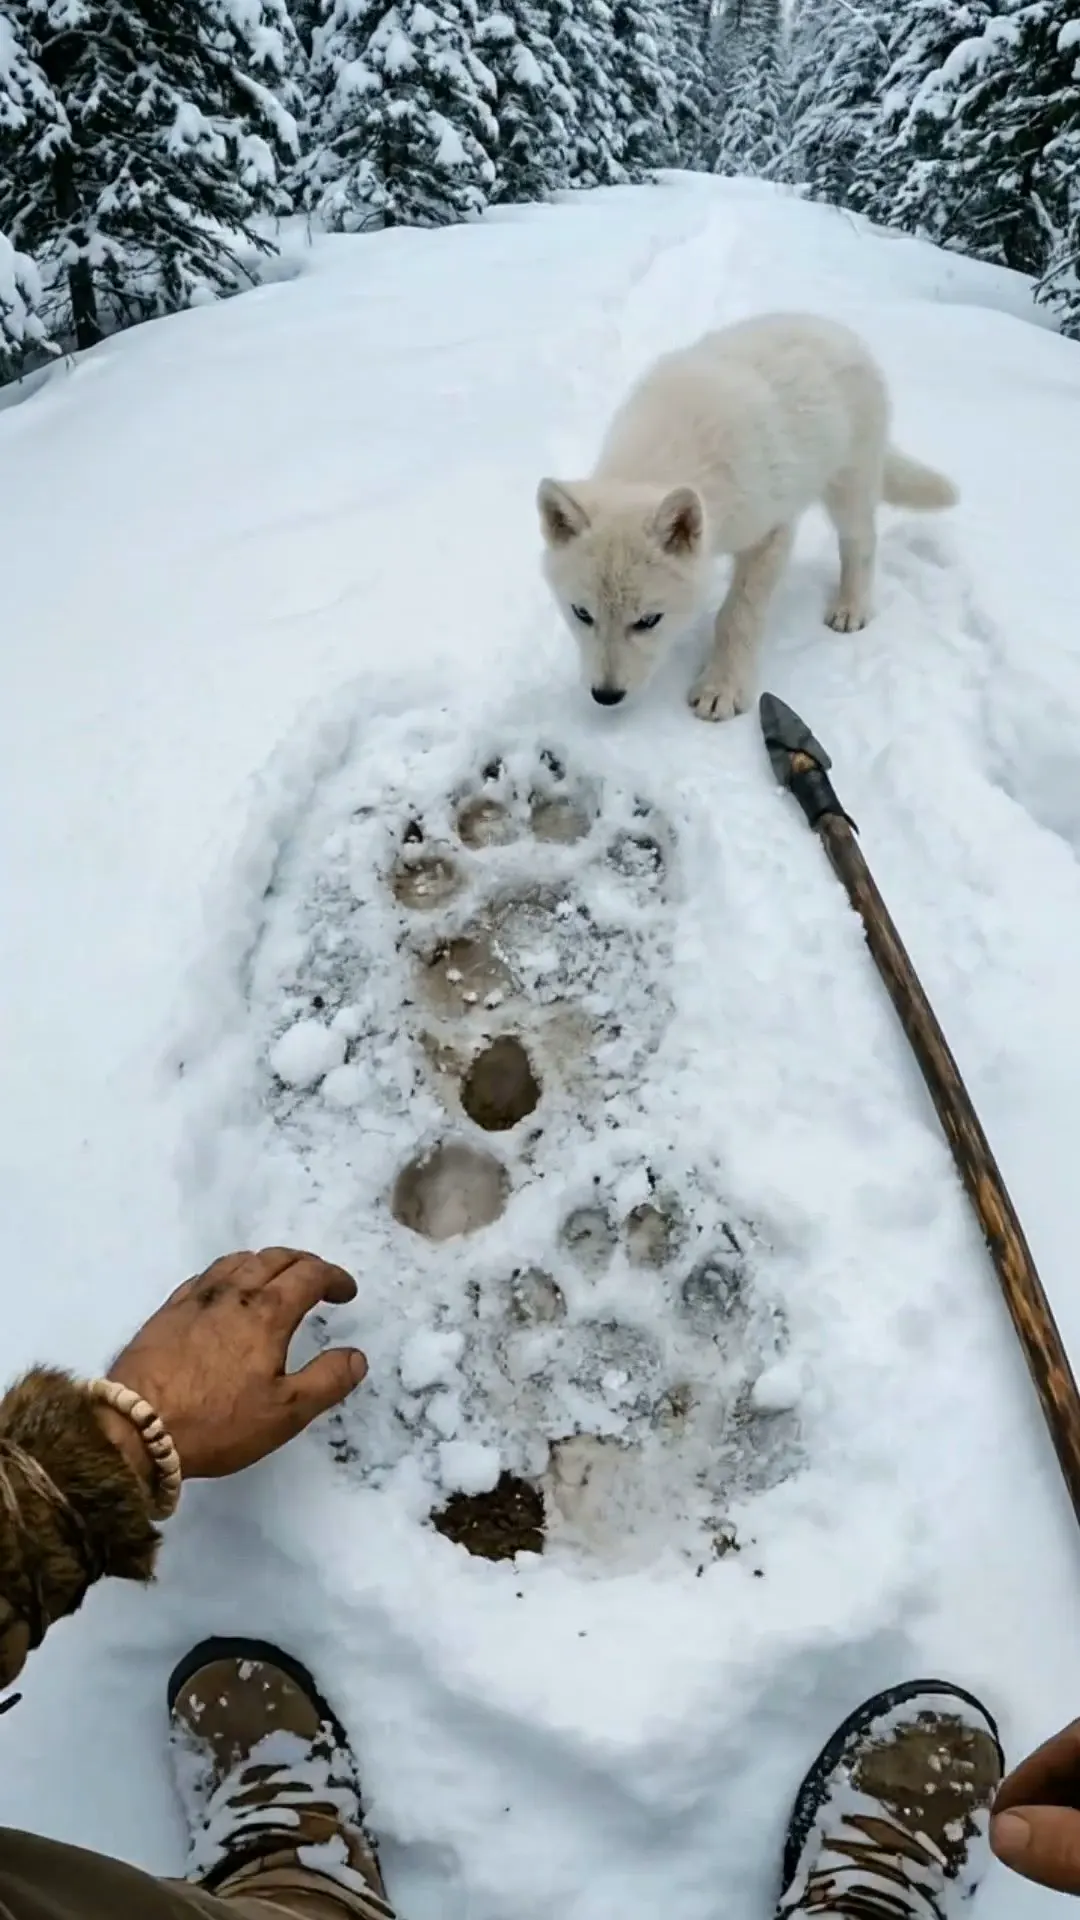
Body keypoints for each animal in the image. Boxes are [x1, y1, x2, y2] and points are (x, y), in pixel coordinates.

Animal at [537, 313, 957, 721]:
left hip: (847, 490)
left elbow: (736, 615)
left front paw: (721, 688)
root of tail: (837, 329)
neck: (660, 464)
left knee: (861, 542)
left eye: (648, 621)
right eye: (581, 614)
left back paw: (850, 607)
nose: (606, 696)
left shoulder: (771, 533)